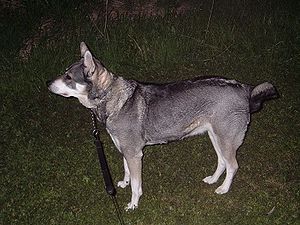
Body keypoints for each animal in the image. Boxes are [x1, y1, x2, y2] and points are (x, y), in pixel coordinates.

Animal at [45, 42, 278, 211]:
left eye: (68, 77)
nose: (47, 83)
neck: (111, 97)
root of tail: (245, 89)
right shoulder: (125, 150)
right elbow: (127, 171)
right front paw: (124, 183)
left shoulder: (134, 154)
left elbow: (137, 184)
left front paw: (133, 204)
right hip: (216, 136)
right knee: (222, 161)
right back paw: (213, 180)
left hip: (225, 139)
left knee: (233, 165)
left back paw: (223, 188)